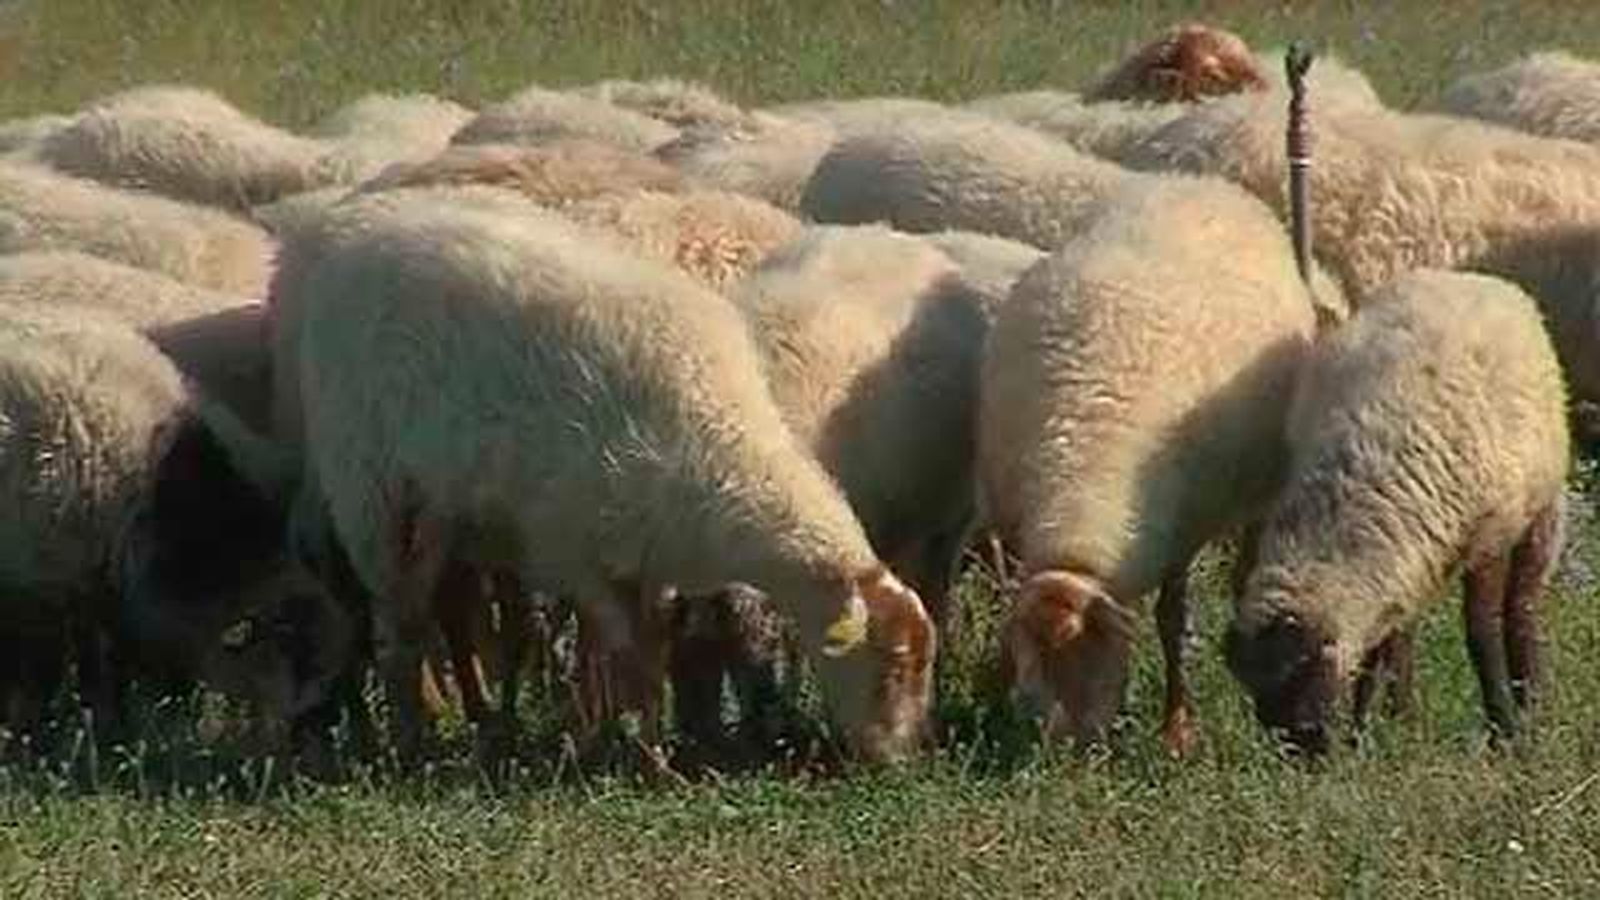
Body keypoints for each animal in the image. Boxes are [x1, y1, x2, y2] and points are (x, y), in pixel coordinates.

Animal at [978, 175, 1317, 753]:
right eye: (1034, 663)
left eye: (1093, 658)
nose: (1067, 748)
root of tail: (1203, 183)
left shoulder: (1183, 528)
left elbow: (1171, 620)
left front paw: (1176, 728)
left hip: (1261, 478)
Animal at [1225, 269, 1569, 753]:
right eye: (1256, 690)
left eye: (1300, 675)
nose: (1302, 752)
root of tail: (1462, 276)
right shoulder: (1397, 555)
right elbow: (1382, 643)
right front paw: (1365, 733)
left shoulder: (1489, 537)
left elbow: (1481, 630)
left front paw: (1504, 728)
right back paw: (1402, 713)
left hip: (1537, 510)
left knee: (1522, 607)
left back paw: (1529, 697)